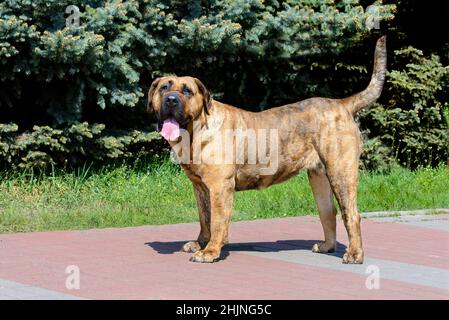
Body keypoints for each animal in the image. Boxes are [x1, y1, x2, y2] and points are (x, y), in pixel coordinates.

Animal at [146, 36, 384, 264]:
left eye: (187, 90)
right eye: (164, 87)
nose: (171, 100)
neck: (197, 131)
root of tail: (342, 104)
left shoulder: (219, 186)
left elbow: (217, 222)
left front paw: (210, 252)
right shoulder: (200, 186)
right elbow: (205, 218)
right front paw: (200, 243)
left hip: (340, 172)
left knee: (350, 214)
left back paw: (354, 255)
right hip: (319, 177)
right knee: (328, 212)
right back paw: (327, 246)